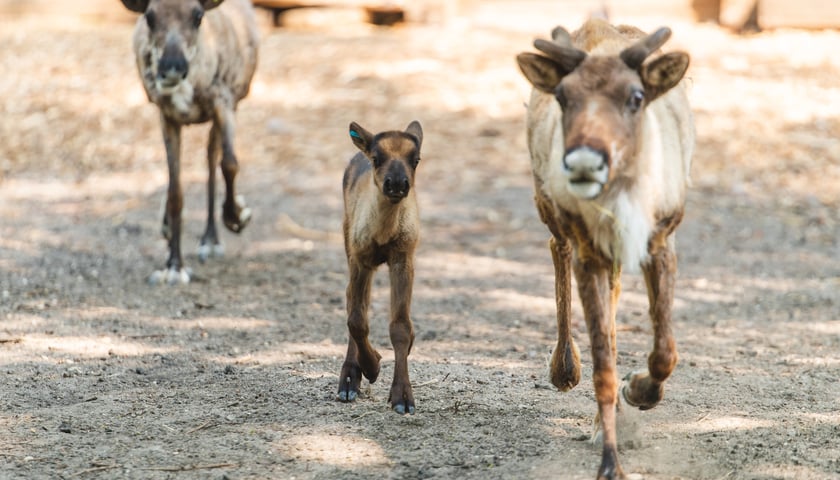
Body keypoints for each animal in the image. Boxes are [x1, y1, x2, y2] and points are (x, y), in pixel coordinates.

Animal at [336, 119, 424, 412]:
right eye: (376, 158)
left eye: (416, 159)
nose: (396, 183)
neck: (384, 235)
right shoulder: (361, 258)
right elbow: (356, 319)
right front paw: (371, 367)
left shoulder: (403, 257)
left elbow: (400, 327)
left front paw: (403, 397)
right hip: (347, 237)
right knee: (352, 300)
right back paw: (349, 381)